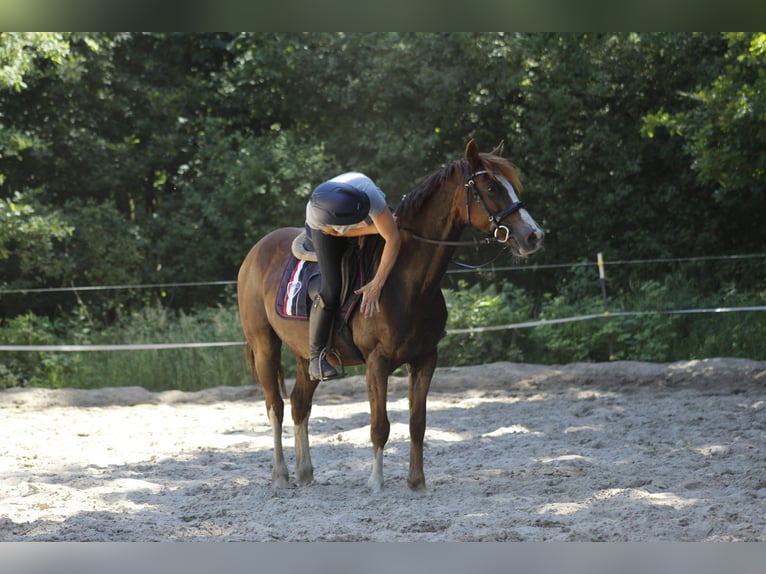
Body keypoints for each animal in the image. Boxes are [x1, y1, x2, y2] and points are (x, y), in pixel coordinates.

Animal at [237, 139, 544, 491]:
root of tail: (256, 251)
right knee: (275, 406)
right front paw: (375, 482)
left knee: (300, 405)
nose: (534, 235)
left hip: (305, 356)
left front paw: (417, 482)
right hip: (265, 346)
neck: (407, 282)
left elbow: (417, 423)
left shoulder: (425, 359)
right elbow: (379, 425)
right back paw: (281, 474)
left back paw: (305, 472)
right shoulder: (377, 362)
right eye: (492, 187)